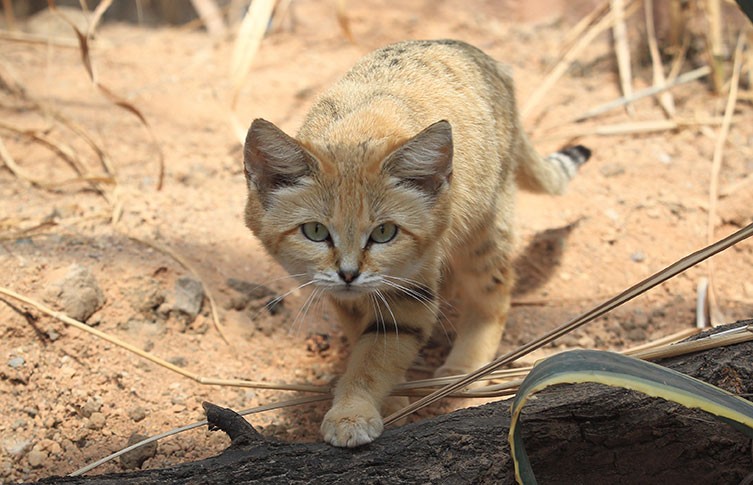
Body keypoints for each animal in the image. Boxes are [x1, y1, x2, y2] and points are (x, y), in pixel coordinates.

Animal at [241, 39, 588, 448]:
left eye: (384, 233)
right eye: (314, 231)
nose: (348, 273)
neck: (354, 136)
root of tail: (484, 58)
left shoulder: (409, 290)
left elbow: (375, 357)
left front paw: (352, 411)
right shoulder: (344, 296)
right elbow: (365, 341)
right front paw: (387, 399)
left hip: (485, 227)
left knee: (495, 292)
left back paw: (464, 366)